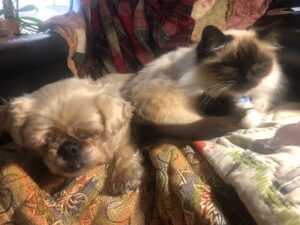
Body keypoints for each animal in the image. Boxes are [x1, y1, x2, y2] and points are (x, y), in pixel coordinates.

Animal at [0, 77, 144, 195]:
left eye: (89, 134)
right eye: (45, 143)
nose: (68, 149)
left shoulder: (124, 137)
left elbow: (124, 152)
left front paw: (123, 176)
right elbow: (30, 160)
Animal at [118, 24, 286, 144]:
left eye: (258, 64)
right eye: (232, 65)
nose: (249, 78)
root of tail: (135, 113)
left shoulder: (262, 100)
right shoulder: (208, 99)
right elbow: (236, 110)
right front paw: (249, 116)